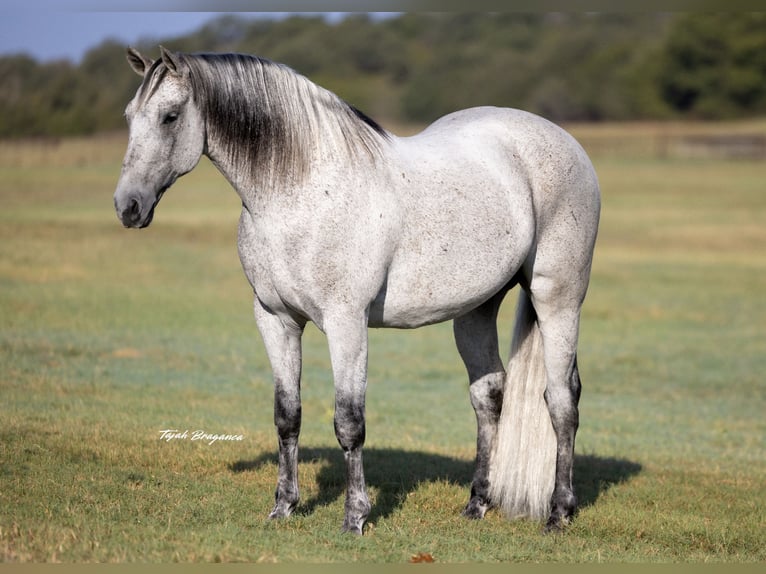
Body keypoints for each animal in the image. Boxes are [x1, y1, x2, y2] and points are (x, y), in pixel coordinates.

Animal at [114, 46, 600, 535]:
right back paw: (477, 503)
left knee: (561, 400)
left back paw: (559, 512)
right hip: (476, 308)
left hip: (558, 298)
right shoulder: (275, 320)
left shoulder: (346, 321)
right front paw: (283, 506)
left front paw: (355, 517)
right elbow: (287, 416)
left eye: (170, 116)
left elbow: (349, 421)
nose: (127, 207)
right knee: (489, 395)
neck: (301, 193)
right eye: (130, 116)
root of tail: (567, 142)